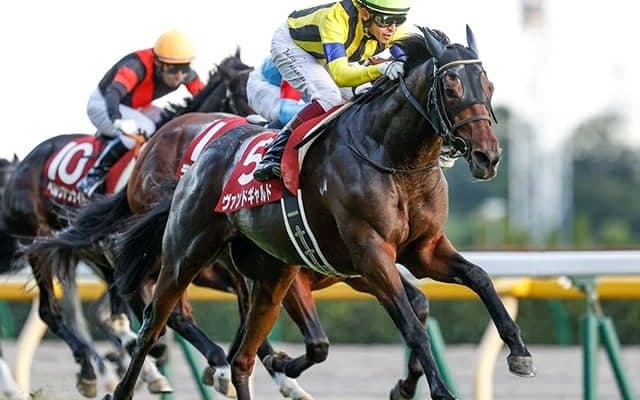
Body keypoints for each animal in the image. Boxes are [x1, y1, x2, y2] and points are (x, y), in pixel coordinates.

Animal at [0, 52, 255, 398]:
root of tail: (22, 164)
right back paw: (90, 370)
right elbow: (165, 318)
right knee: (50, 311)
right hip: (39, 243)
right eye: (244, 92)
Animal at [103, 26, 536, 400]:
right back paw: (129, 385)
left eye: (489, 86)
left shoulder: (422, 250)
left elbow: (478, 279)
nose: (488, 156)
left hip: (269, 278)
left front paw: (518, 351)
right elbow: (408, 326)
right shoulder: (370, 254)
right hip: (185, 255)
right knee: (154, 325)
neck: (392, 158)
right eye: (450, 86)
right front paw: (439, 390)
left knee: (242, 356)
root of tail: (200, 157)